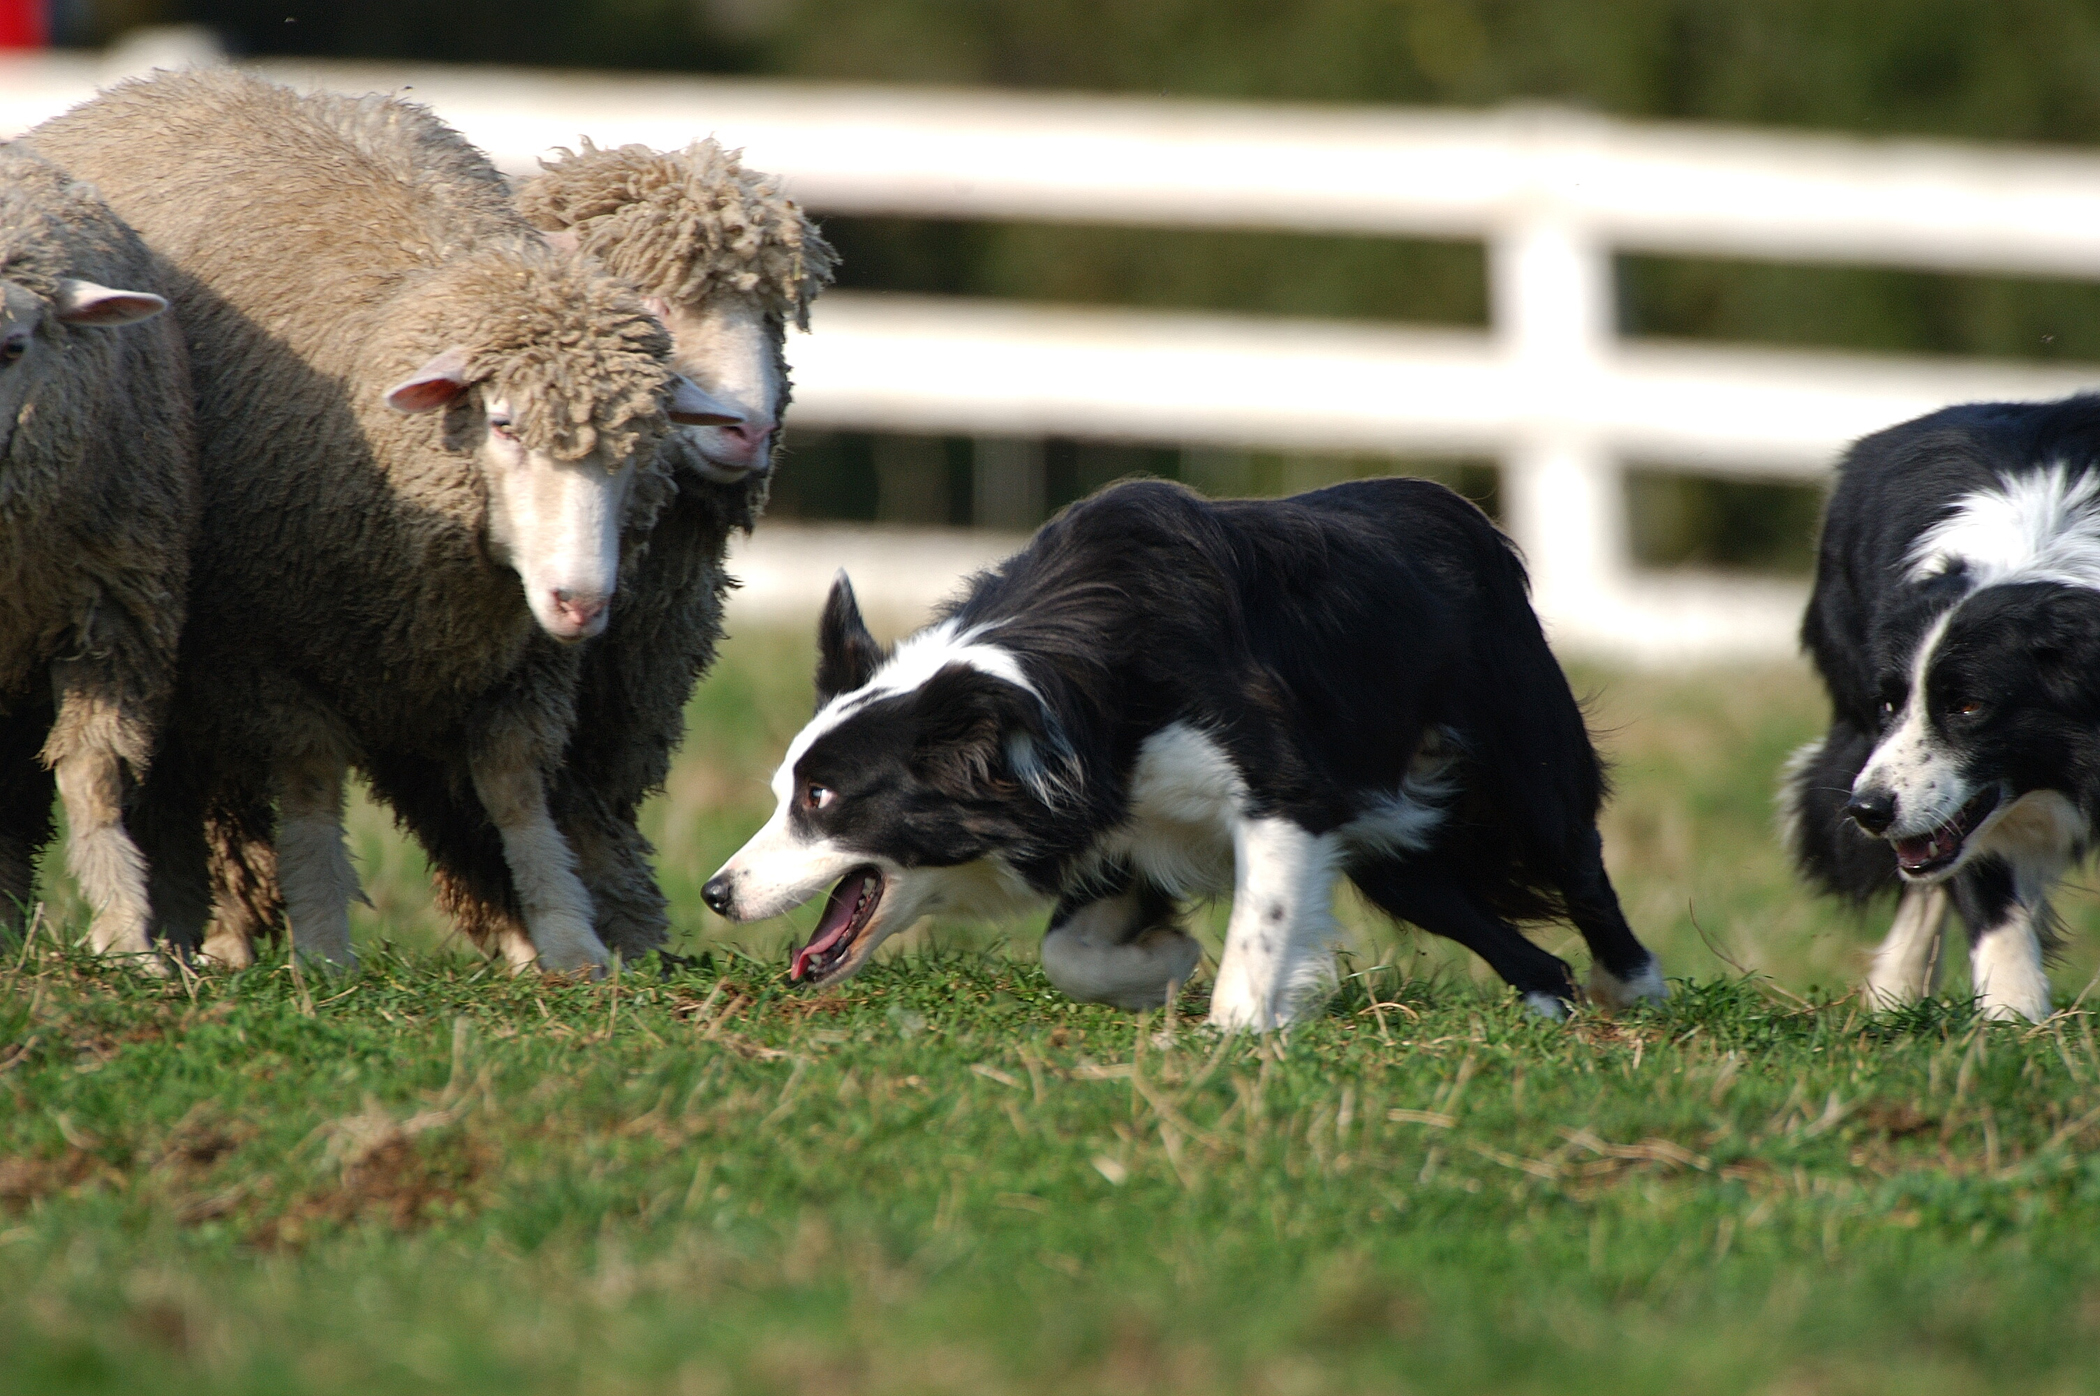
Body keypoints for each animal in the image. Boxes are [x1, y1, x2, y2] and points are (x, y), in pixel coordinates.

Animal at [26, 70, 736, 973]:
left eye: (644, 443)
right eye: (502, 423)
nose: (582, 604)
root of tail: (153, 82)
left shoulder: (523, 668)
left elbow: (515, 790)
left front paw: (568, 939)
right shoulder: (262, 648)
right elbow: (310, 781)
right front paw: (326, 944)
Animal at [702, 477, 1665, 1030]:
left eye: (822, 799)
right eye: (784, 790)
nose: (715, 893)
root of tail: (1469, 519)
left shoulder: (1284, 794)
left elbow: (1257, 935)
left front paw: (1236, 1032)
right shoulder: (1115, 820)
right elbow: (1069, 953)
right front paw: (1162, 968)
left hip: (1521, 761)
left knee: (1581, 864)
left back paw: (1636, 991)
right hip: (1399, 855)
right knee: (1494, 928)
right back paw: (1548, 1003)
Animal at [1783, 394, 2100, 1022]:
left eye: (1969, 706)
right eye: (1888, 702)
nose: (1866, 811)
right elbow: (1984, 886)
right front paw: (2014, 1018)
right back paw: (1895, 993)